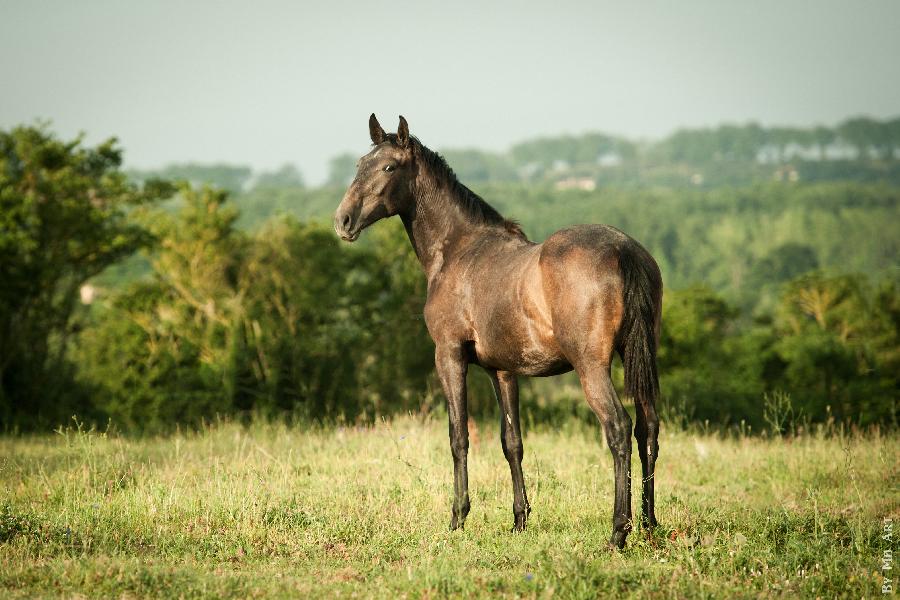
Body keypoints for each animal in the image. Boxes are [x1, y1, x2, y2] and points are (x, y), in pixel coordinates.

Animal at [332, 113, 660, 548]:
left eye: (387, 167)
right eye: (359, 165)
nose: (343, 221)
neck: (458, 250)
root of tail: (624, 250)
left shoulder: (449, 355)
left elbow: (459, 437)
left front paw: (458, 518)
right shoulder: (502, 371)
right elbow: (512, 442)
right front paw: (520, 520)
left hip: (592, 367)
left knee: (619, 430)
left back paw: (619, 531)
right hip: (640, 360)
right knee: (647, 430)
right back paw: (650, 524)